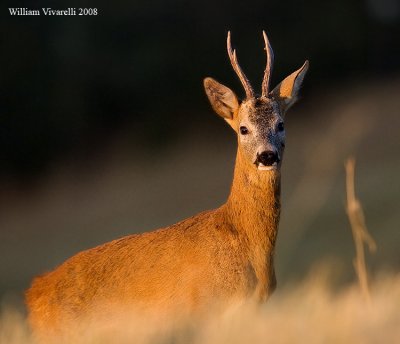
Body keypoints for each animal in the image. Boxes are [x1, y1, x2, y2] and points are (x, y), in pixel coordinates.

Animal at [25, 31, 310, 342]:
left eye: (281, 124)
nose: (267, 156)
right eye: (243, 128)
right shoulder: (205, 310)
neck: (244, 241)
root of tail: (35, 292)